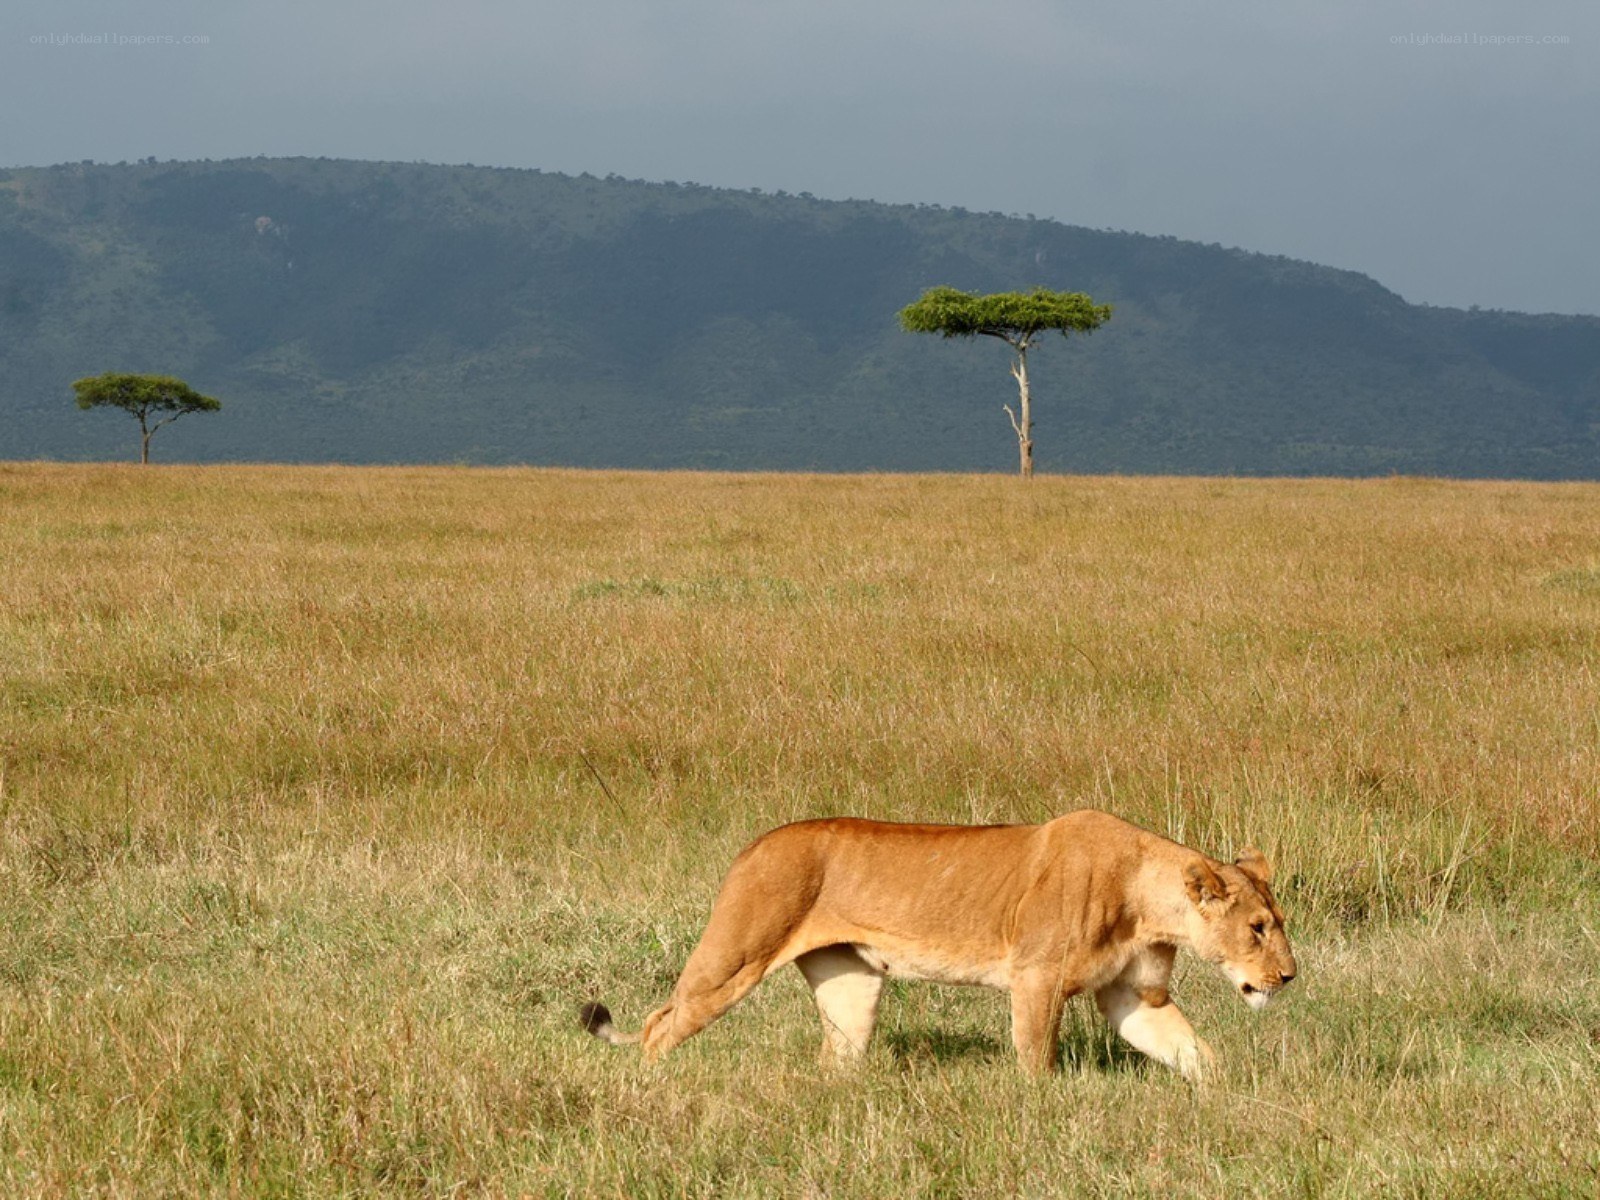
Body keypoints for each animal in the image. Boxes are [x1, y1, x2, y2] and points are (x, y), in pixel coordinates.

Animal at [579, 809, 1295, 1079]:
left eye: (1276, 921)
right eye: (1258, 928)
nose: (1287, 978)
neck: (1148, 898)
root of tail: (755, 844)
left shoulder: (1135, 996)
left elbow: (1193, 1051)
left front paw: (1237, 1097)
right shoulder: (1036, 978)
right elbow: (1035, 1060)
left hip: (852, 984)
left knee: (837, 1053)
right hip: (736, 956)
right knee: (660, 1023)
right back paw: (653, 1085)